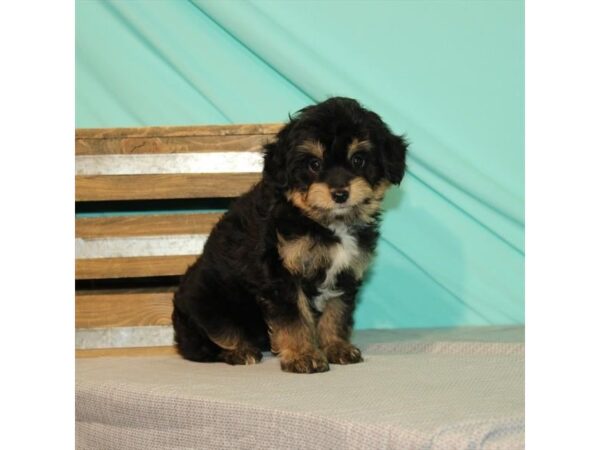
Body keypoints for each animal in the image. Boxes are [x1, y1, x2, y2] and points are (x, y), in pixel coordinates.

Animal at [173, 97, 408, 372]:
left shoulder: (345, 273)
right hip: (207, 299)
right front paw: (302, 355)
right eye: (314, 164)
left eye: (358, 160)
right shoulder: (280, 272)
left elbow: (336, 311)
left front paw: (336, 347)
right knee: (213, 337)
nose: (340, 193)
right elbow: (294, 317)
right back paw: (239, 351)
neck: (324, 223)